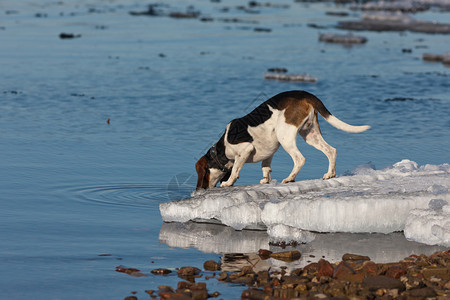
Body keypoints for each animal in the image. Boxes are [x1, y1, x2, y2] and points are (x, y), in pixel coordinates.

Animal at [195, 91, 370, 190]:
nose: (200, 189)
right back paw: (329, 174)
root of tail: (304, 94)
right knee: (331, 150)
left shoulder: (244, 151)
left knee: (300, 159)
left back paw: (290, 178)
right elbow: (265, 167)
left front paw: (228, 183)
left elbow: (236, 170)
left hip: (285, 136)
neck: (222, 148)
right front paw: (265, 180)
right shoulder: (268, 153)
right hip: (310, 134)